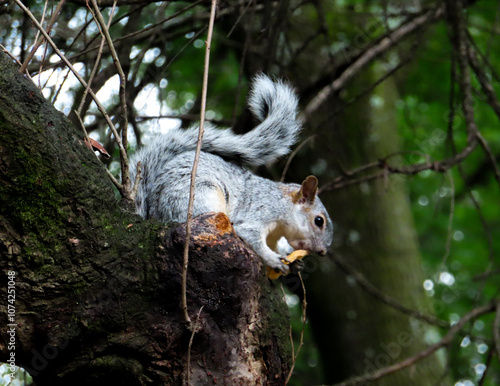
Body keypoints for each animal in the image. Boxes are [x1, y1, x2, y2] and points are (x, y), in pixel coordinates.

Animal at [130, 74, 332, 274]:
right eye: (319, 221)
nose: (322, 252)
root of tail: (155, 213)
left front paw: (295, 263)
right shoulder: (261, 211)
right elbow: (251, 236)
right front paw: (273, 259)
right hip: (198, 198)